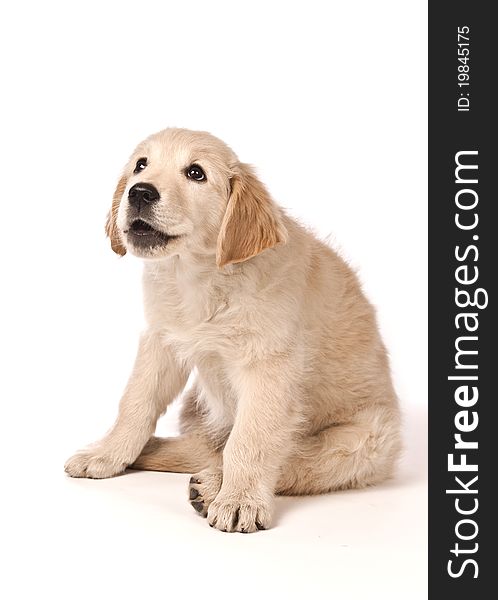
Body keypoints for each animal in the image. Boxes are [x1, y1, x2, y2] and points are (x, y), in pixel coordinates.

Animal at [65, 129, 400, 532]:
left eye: (196, 173)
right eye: (140, 165)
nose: (140, 192)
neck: (202, 276)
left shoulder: (269, 368)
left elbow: (251, 439)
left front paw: (241, 499)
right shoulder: (161, 341)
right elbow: (136, 402)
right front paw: (109, 452)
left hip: (361, 442)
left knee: (292, 457)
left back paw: (213, 485)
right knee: (206, 447)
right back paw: (153, 451)